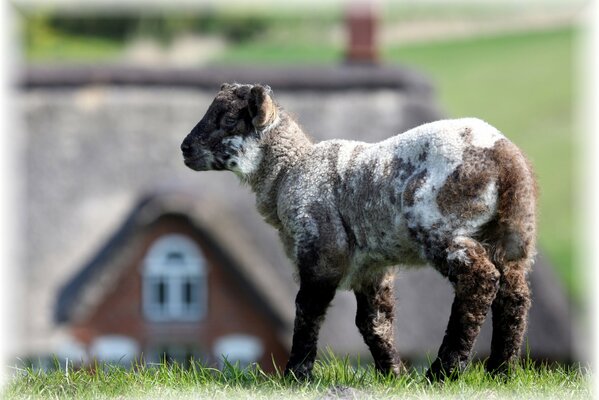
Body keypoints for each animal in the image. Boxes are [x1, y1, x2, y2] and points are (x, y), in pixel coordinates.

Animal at [180, 83, 536, 380]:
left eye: (228, 120)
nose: (184, 148)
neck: (288, 171)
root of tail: (504, 159)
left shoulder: (322, 247)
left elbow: (308, 310)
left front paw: (296, 375)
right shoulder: (371, 266)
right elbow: (374, 322)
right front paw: (393, 375)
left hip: (441, 225)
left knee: (479, 282)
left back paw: (443, 371)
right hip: (511, 236)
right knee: (514, 294)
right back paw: (501, 370)